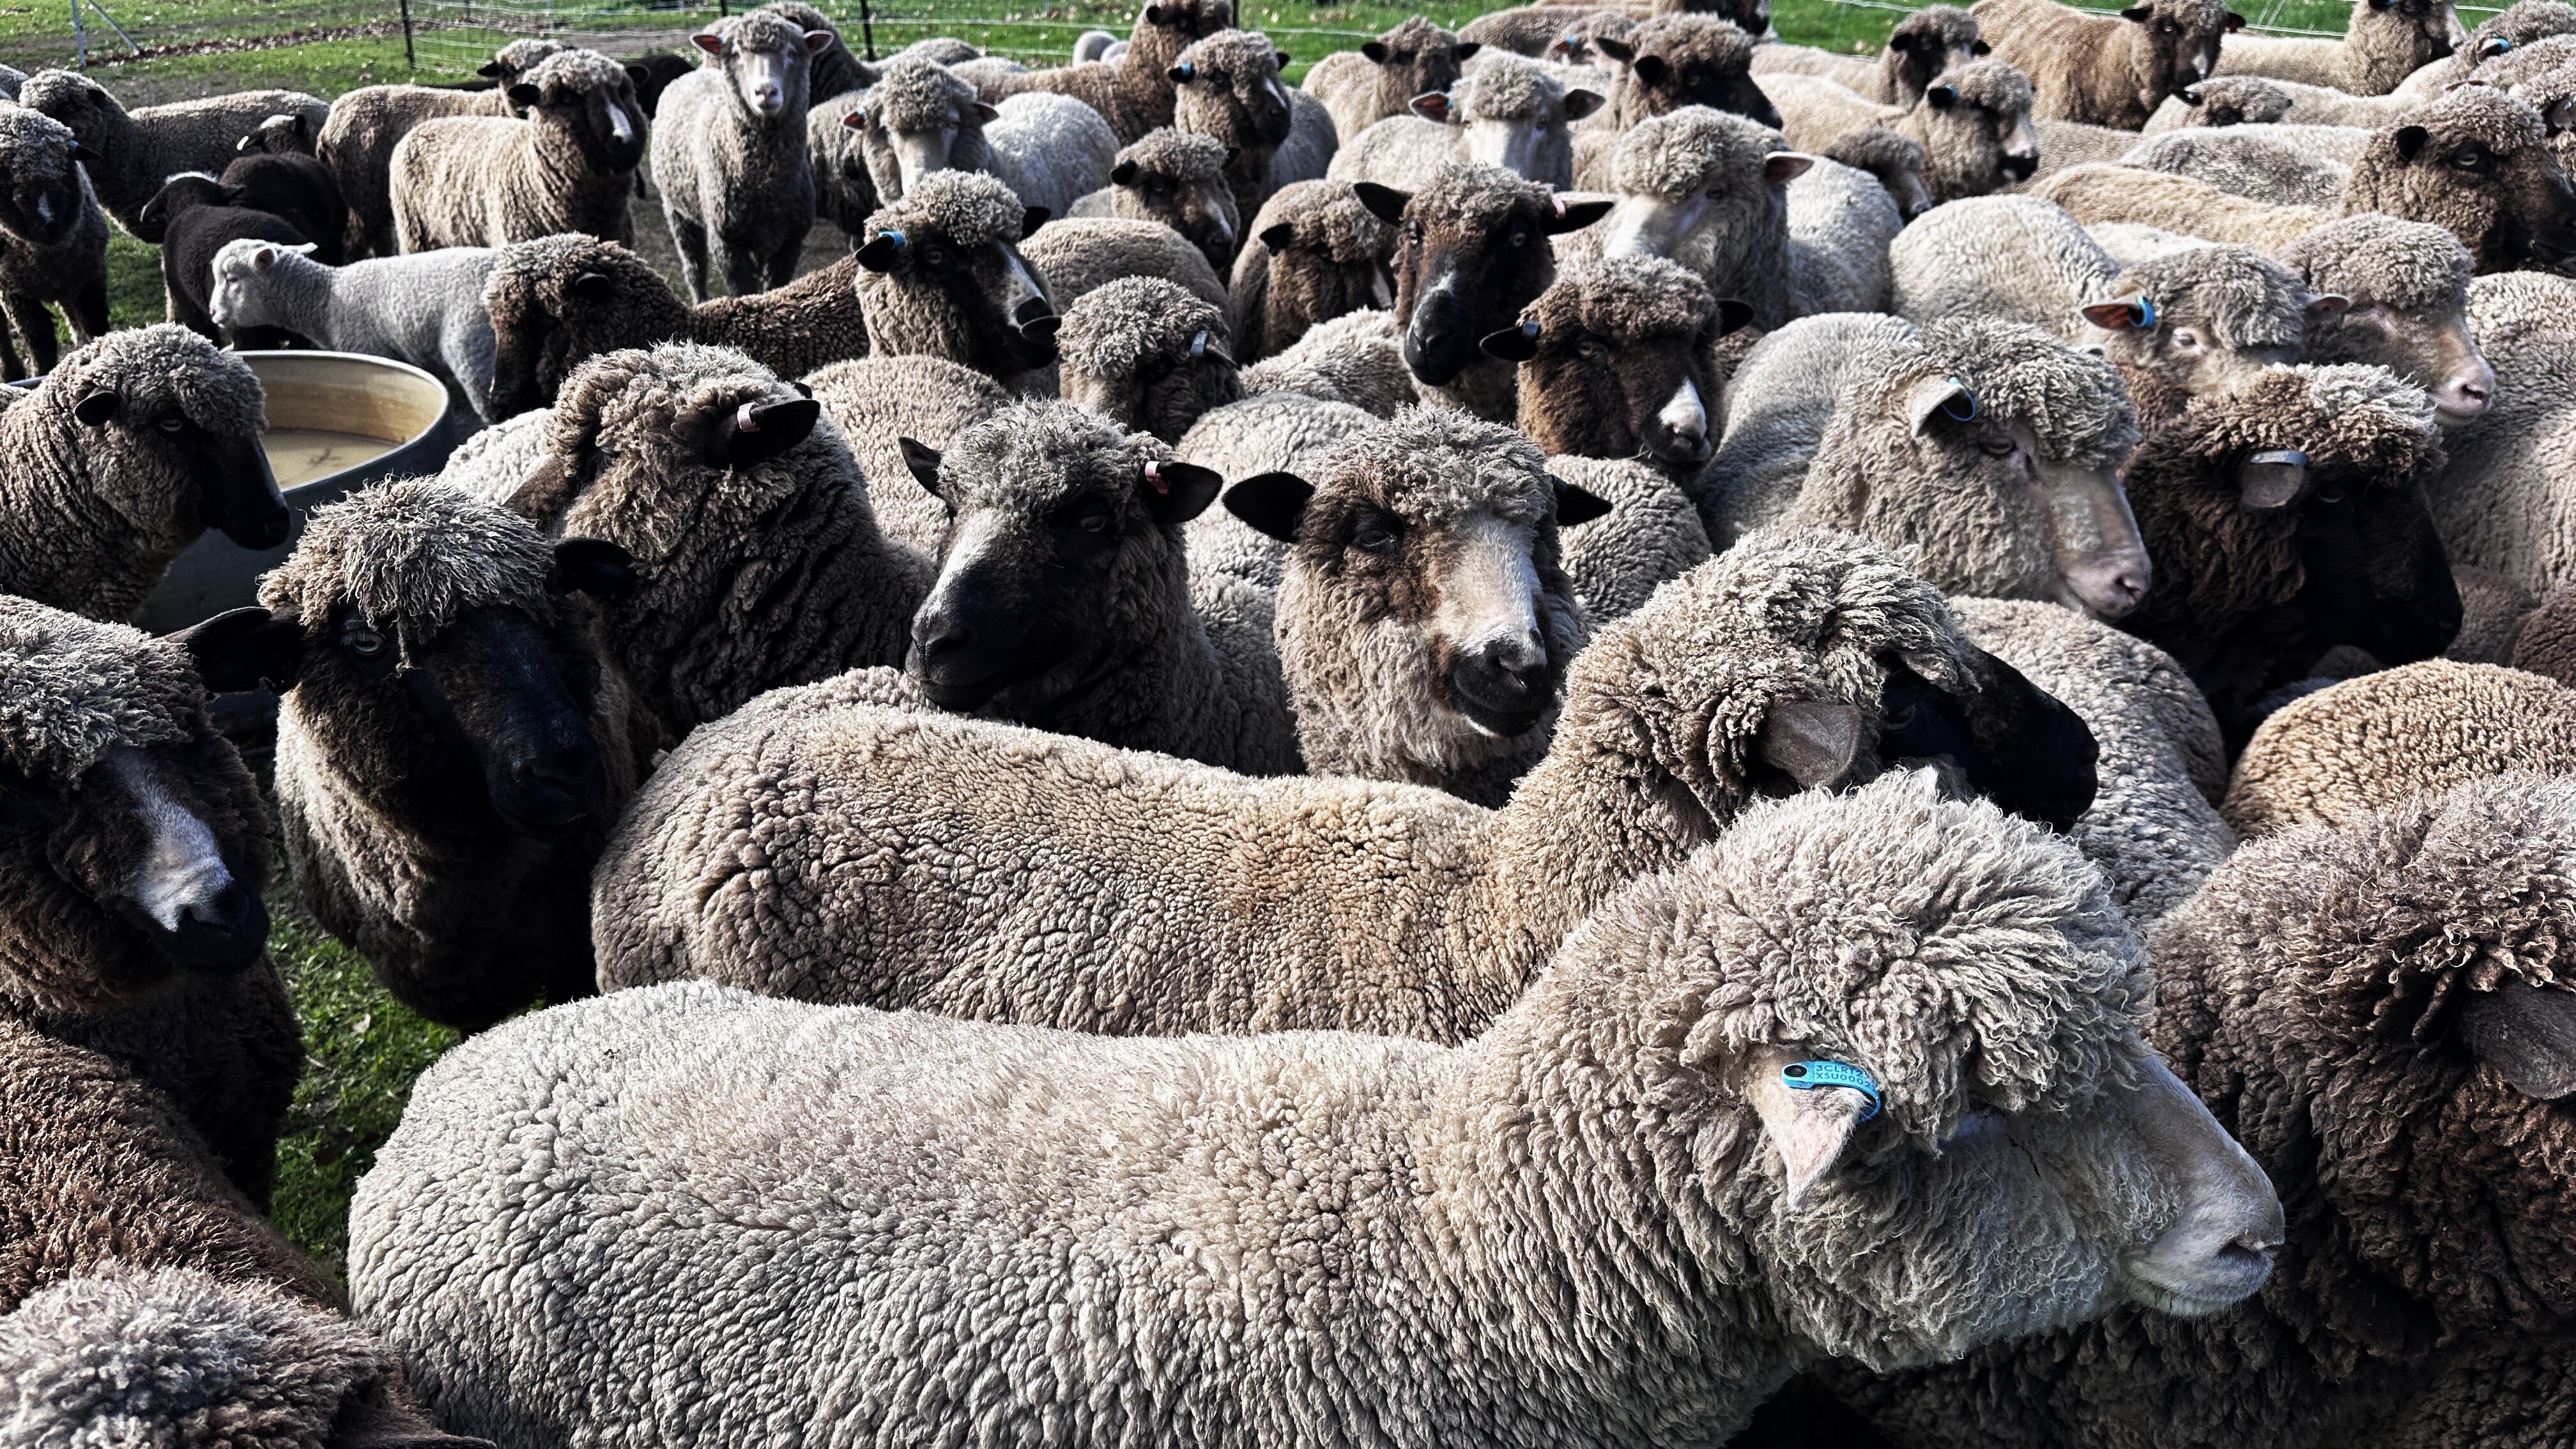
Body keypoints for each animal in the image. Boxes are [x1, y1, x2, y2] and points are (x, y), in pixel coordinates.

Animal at [0, 102, 107, 379]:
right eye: (8, 182)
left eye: (63, 171)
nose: (48, 225)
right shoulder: (15, 293)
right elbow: (40, 342)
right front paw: (42, 373)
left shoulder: (91, 275)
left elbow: (96, 325)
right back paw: (11, 372)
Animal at [650, 12, 823, 299]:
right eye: (736, 54)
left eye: (791, 52)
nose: (766, 92)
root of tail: (696, 72)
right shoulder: (727, 244)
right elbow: (742, 292)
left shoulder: (789, 243)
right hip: (676, 210)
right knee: (694, 269)